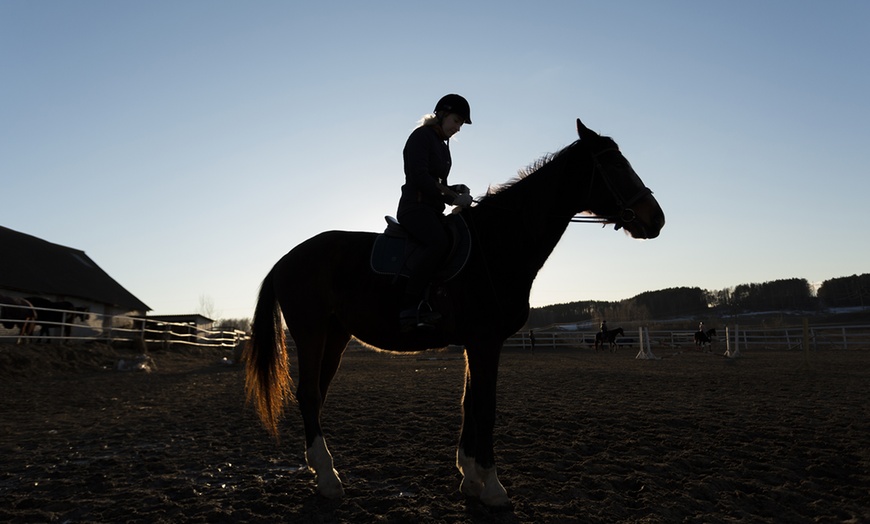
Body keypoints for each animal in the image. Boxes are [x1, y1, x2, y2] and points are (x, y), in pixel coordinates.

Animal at [245, 119, 668, 508]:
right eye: (615, 165)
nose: (657, 219)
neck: (497, 243)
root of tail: (287, 258)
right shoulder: (486, 341)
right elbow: (486, 407)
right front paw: (493, 486)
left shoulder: (475, 343)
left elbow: (469, 403)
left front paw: (469, 476)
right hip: (312, 332)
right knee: (308, 394)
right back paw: (329, 479)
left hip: (335, 336)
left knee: (316, 394)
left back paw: (321, 471)